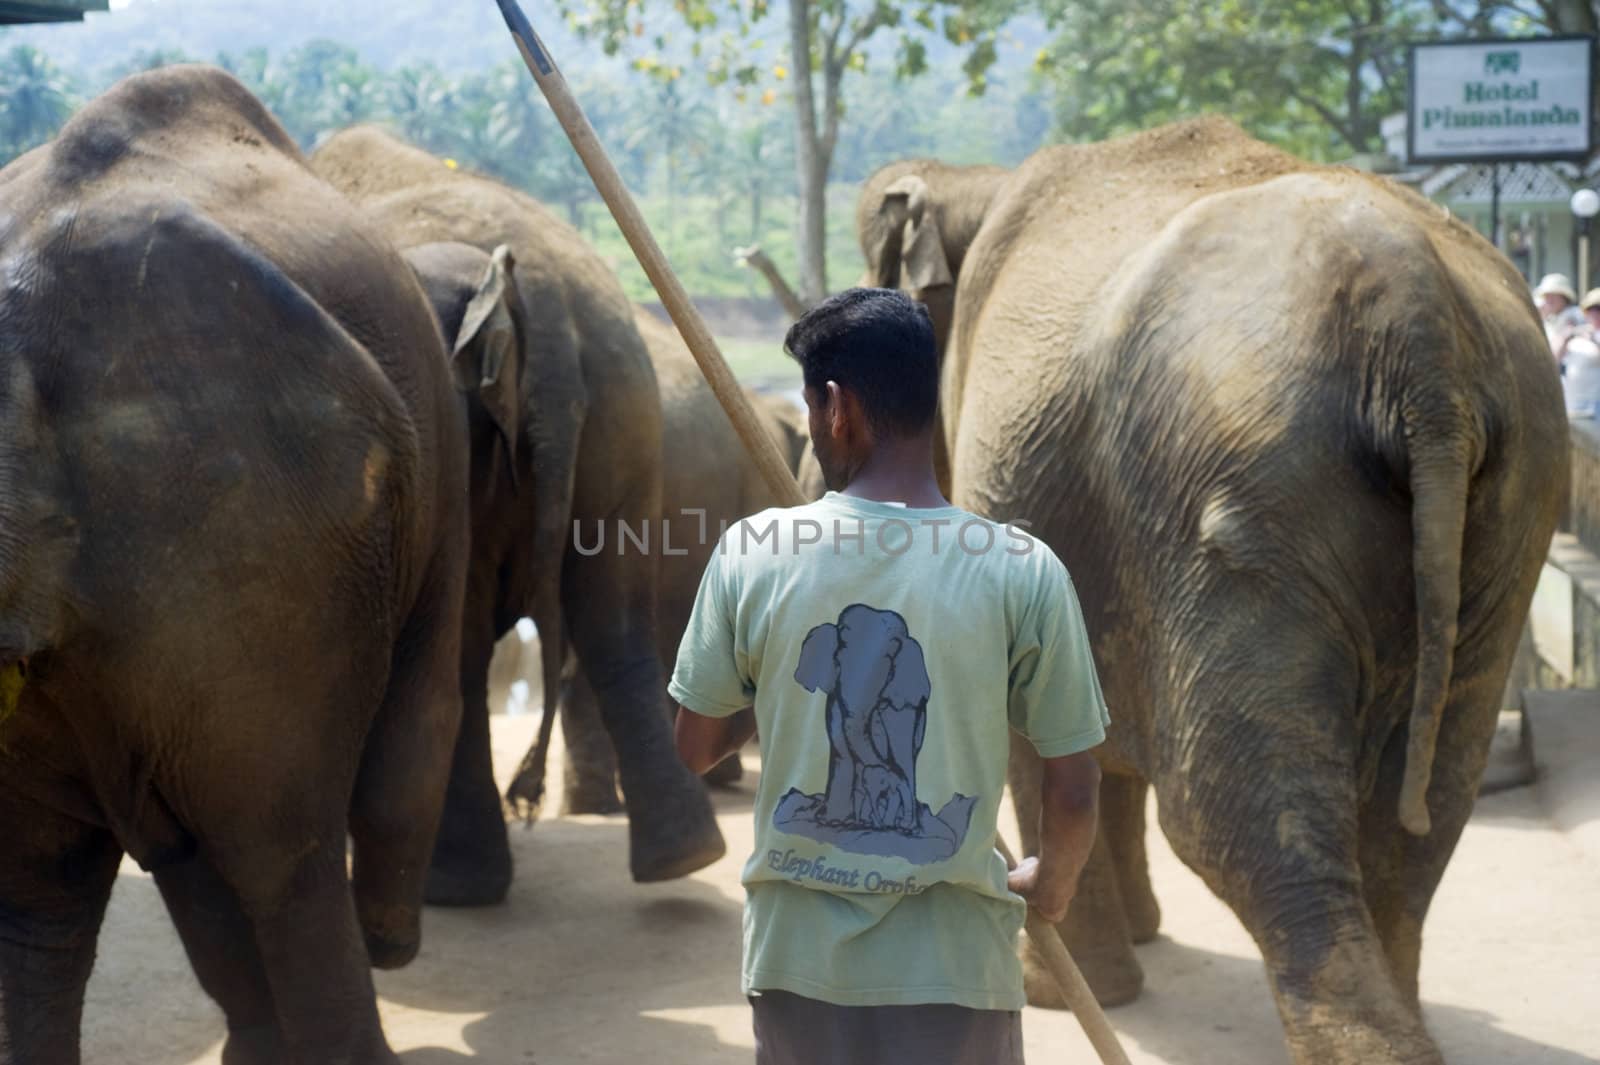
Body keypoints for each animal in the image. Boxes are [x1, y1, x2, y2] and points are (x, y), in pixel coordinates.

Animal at [312, 126, 726, 889]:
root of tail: (549, 298)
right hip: (626, 403)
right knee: (614, 614)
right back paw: (683, 857)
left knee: (466, 640)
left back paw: (457, 885)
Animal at [857, 115, 1568, 1061]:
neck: (982, 179)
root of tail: (1418, 325)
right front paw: (1135, 945)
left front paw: (1064, 990)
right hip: (1511, 511)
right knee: (1425, 809)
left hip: (1247, 491)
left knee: (1231, 809)